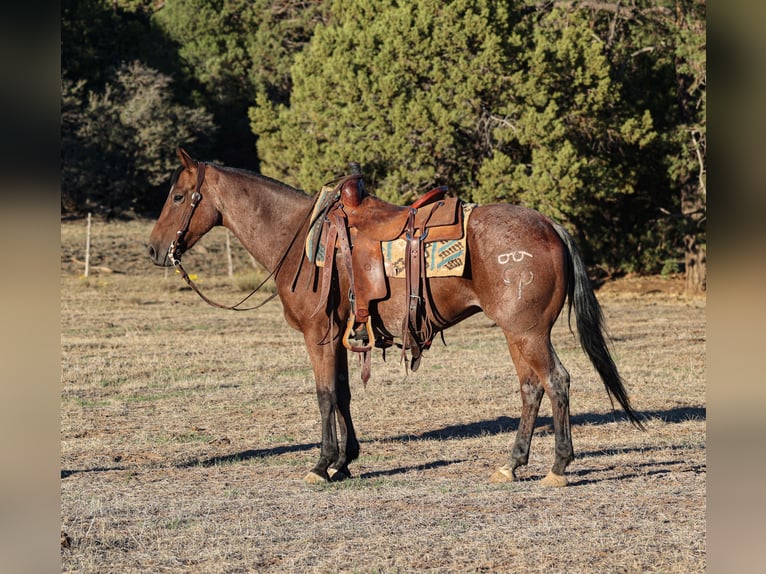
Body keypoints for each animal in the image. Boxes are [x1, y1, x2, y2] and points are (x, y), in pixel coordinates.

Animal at [148, 148, 643, 487]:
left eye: (178, 196)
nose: (153, 249)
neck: (299, 239)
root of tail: (550, 225)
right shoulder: (343, 335)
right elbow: (344, 395)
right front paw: (345, 462)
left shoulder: (318, 335)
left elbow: (324, 396)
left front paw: (321, 464)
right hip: (517, 334)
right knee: (530, 389)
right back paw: (512, 463)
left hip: (528, 332)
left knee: (556, 382)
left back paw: (558, 466)